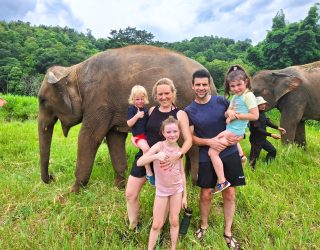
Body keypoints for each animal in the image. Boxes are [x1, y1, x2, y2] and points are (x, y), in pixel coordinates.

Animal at [38, 45, 216, 192]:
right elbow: (114, 139)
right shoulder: (109, 108)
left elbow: (89, 138)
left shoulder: (98, 101)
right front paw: (119, 187)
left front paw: (71, 193)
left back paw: (195, 185)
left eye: (42, 100)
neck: (75, 70)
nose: (52, 177)